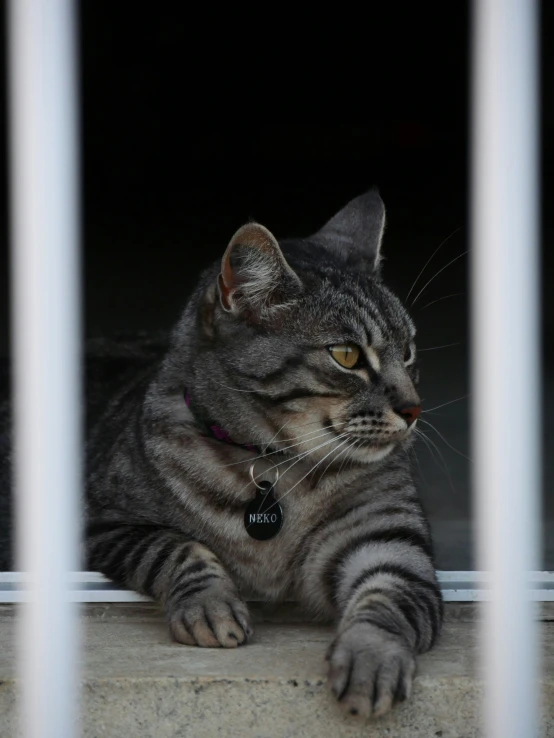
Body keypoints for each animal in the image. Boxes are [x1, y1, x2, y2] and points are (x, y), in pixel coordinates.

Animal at [1, 191, 440, 720]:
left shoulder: (390, 540)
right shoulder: (104, 524)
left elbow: (387, 597)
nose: (414, 408)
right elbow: (177, 547)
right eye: (347, 355)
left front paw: (371, 659)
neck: (275, 467)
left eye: (408, 351)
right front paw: (209, 605)